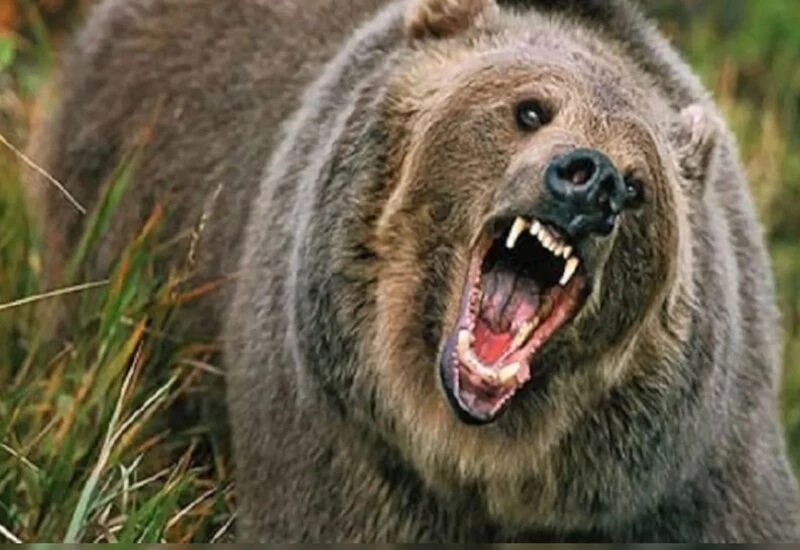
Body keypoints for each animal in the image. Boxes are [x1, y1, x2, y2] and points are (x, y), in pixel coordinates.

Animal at [25, 0, 800, 542]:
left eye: (640, 187)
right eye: (530, 108)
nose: (593, 181)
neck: (488, 458)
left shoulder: (685, 479)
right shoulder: (346, 442)